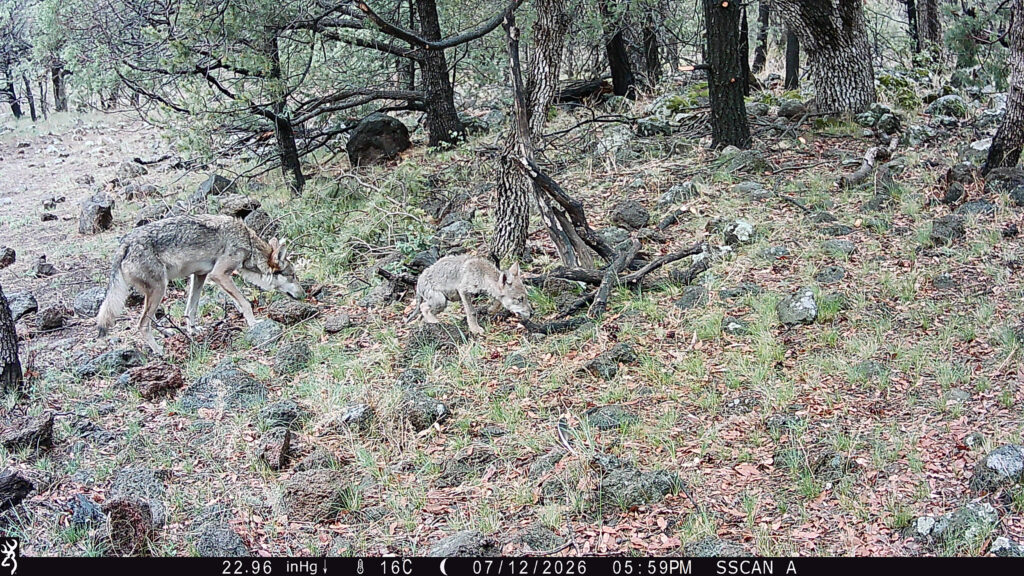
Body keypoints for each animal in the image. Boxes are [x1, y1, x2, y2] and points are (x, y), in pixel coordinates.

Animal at [96, 214, 305, 354]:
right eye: (293, 275)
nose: (304, 294)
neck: (248, 243)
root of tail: (124, 244)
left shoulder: (201, 276)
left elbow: (191, 308)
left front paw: (193, 330)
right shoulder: (218, 275)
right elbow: (245, 303)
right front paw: (254, 324)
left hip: (156, 292)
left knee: (148, 320)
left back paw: (167, 333)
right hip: (160, 289)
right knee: (141, 324)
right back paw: (159, 351)